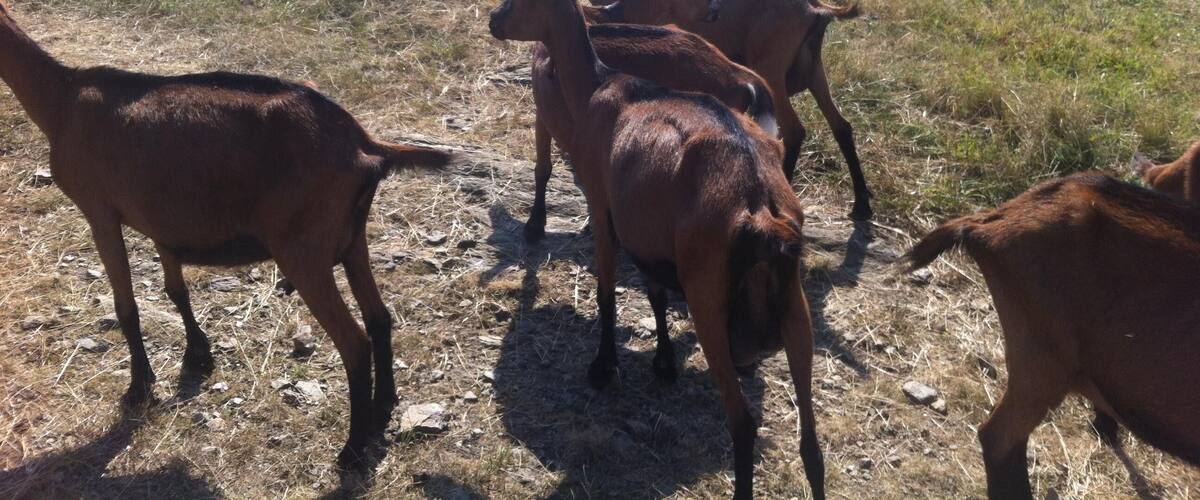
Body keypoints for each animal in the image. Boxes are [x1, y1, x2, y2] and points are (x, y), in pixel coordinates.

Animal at [0, 0, 450, 469]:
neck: (61, 100)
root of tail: (363, 144)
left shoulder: (98, 210)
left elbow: (127, 307)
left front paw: (139, 388)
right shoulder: (164, 221)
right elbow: (175, 289)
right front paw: (198, 354)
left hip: (303, 252)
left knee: (354, 342)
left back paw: (351, 450)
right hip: (351, 240)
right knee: (379, 318)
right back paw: (383, 408)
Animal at [585, 0, 873, 220]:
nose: (713, 11)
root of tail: (815, 9)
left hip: (770, 68)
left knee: (793, 131)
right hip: (813, 71)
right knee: (841, 126)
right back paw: (861, 205)